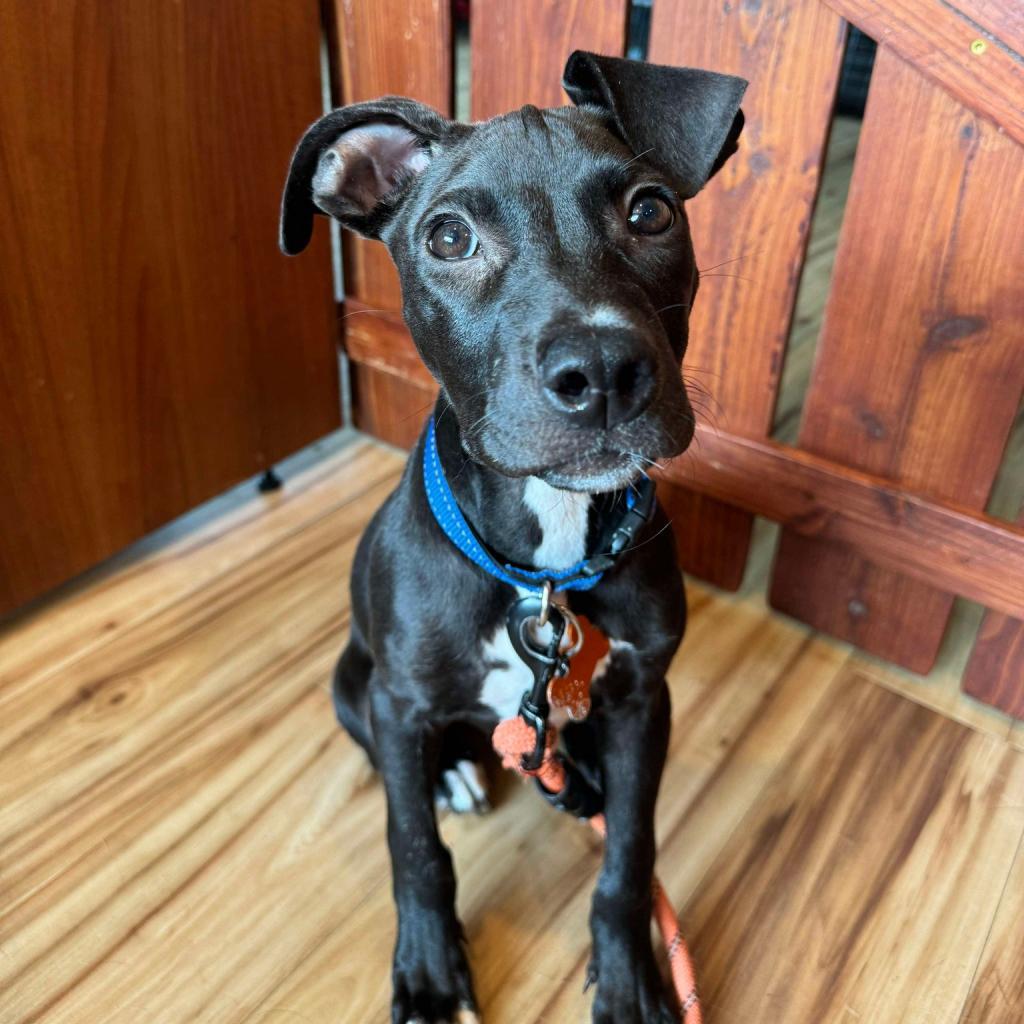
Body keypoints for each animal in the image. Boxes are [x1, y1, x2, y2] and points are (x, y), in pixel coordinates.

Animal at [280, 49, 745, 1024]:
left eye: (651, 210)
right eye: (449, 239)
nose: (601, 371)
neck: (545, 570)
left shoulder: (645, 698)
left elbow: (632, 848)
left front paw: (632, 972)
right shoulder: (399, 699)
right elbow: (413, 847)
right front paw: (426, 973)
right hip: (353, 683)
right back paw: (456, 774)